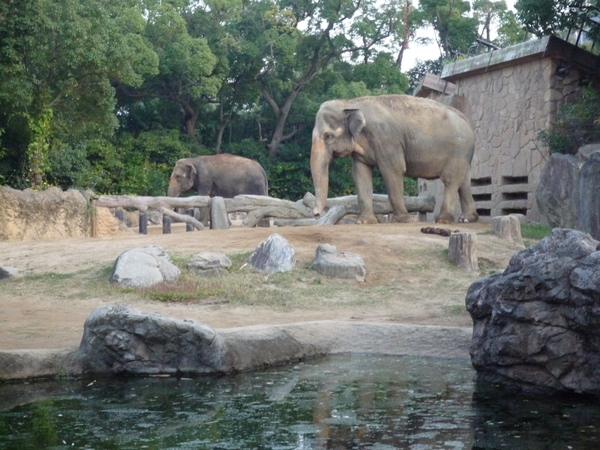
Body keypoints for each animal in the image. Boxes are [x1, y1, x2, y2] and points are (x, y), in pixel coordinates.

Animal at [310, 94, 478, 224]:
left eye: (328, 136)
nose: (316, 214)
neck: (350, 102)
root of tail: (467, 122)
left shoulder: (387, 139)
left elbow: (393, 170)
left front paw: (402, 220)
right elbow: (360, 173)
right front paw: (364, 222)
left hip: (459, 148)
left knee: (450, 179)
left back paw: (443, 220)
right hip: (463, 153)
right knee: (464, 181)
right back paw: (467, 219)